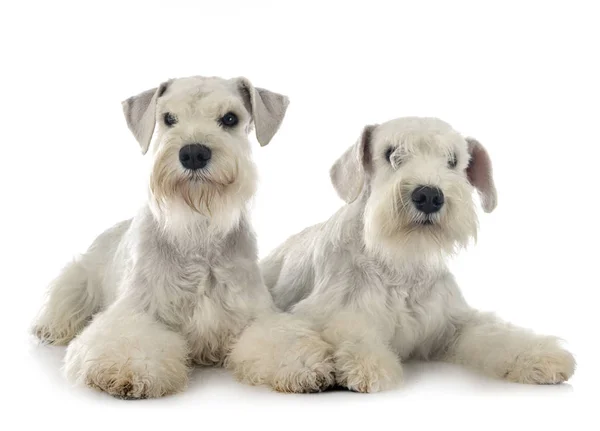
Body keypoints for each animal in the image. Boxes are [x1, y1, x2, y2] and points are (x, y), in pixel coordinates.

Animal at [32, 76, 336, 400]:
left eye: (230, 118)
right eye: (168, 118)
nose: (193, 154)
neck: (197, 232)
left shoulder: (255, 314)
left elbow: (278, 338)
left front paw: (302, 366)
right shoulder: (136, 310)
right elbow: (127, 337)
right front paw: (128, 369)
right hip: (77, 277)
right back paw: (49, 329)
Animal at [262, 116, 576, 394]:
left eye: (453, 160)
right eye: (390, 153)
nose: (429, 196)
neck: (401, 264)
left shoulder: (454, 323)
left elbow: (496, 334)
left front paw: (540, 355)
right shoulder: (330, 311)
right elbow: (350, 329)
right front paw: (367, 363)